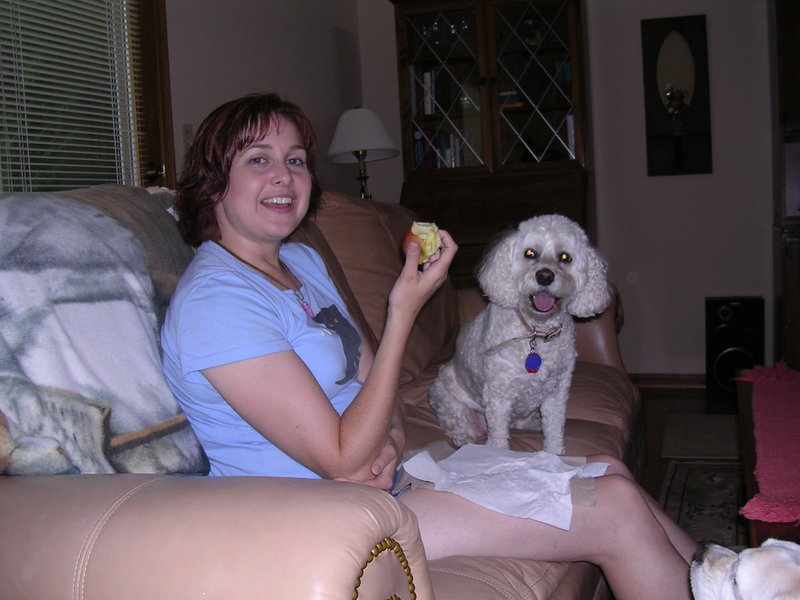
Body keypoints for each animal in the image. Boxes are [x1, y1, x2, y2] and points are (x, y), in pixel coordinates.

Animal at [429, 214, 611, 454]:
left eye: (565, 257)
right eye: (530, 253)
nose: (545, 276)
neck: (535, 332)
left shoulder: (556, 393)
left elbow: (554, 429)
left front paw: (554, 455)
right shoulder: (498, 395)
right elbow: (498, 440)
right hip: (451, 402)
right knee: (459, 426)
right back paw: (464, 440)